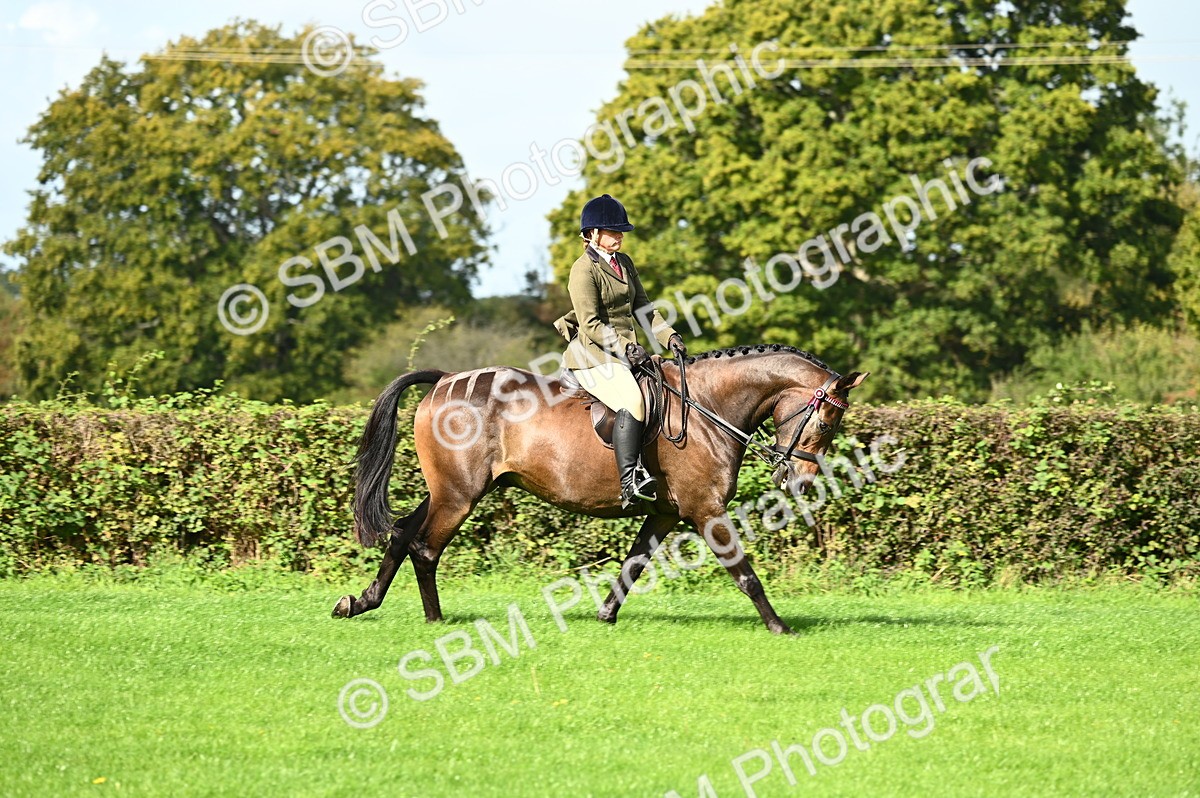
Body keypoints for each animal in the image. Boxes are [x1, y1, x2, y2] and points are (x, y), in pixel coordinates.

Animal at [333, 344, 868, 635]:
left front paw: (605, 615)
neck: (708, 408)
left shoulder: (666, 513)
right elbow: (745, 573)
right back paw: (434, 620)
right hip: (459, 495)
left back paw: (360, 602)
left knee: (402, 533)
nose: (800, 482)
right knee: (424, 547)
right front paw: (780, 625)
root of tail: (446, 379)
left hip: (451, 489)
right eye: (825, 421)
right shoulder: (705, 509)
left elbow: (633, 565)